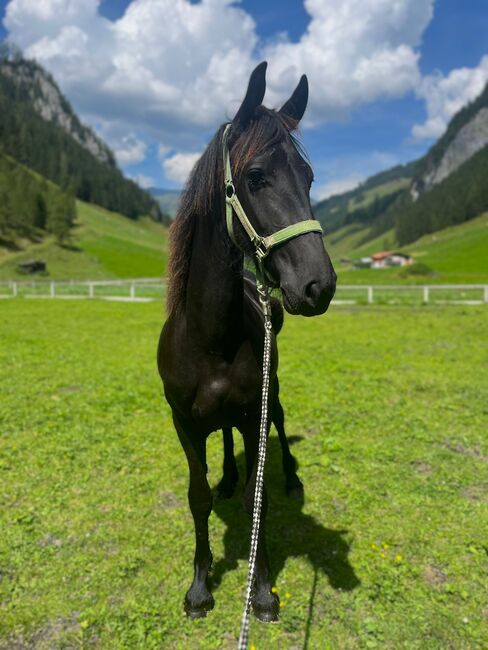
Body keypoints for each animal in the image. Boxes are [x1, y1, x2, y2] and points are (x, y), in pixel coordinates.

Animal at [159, 62, 336, 624]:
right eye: (256, 177)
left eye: (308, 178)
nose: (319, 286)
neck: (210, 337)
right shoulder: (184, 424)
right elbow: (197, 497)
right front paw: (199, 587)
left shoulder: (255, 410)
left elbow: (257, 504)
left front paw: (260, 590)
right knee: (227, 442)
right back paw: (229, 474)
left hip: (270, 395)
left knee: (276, 425)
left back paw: (291, 477)